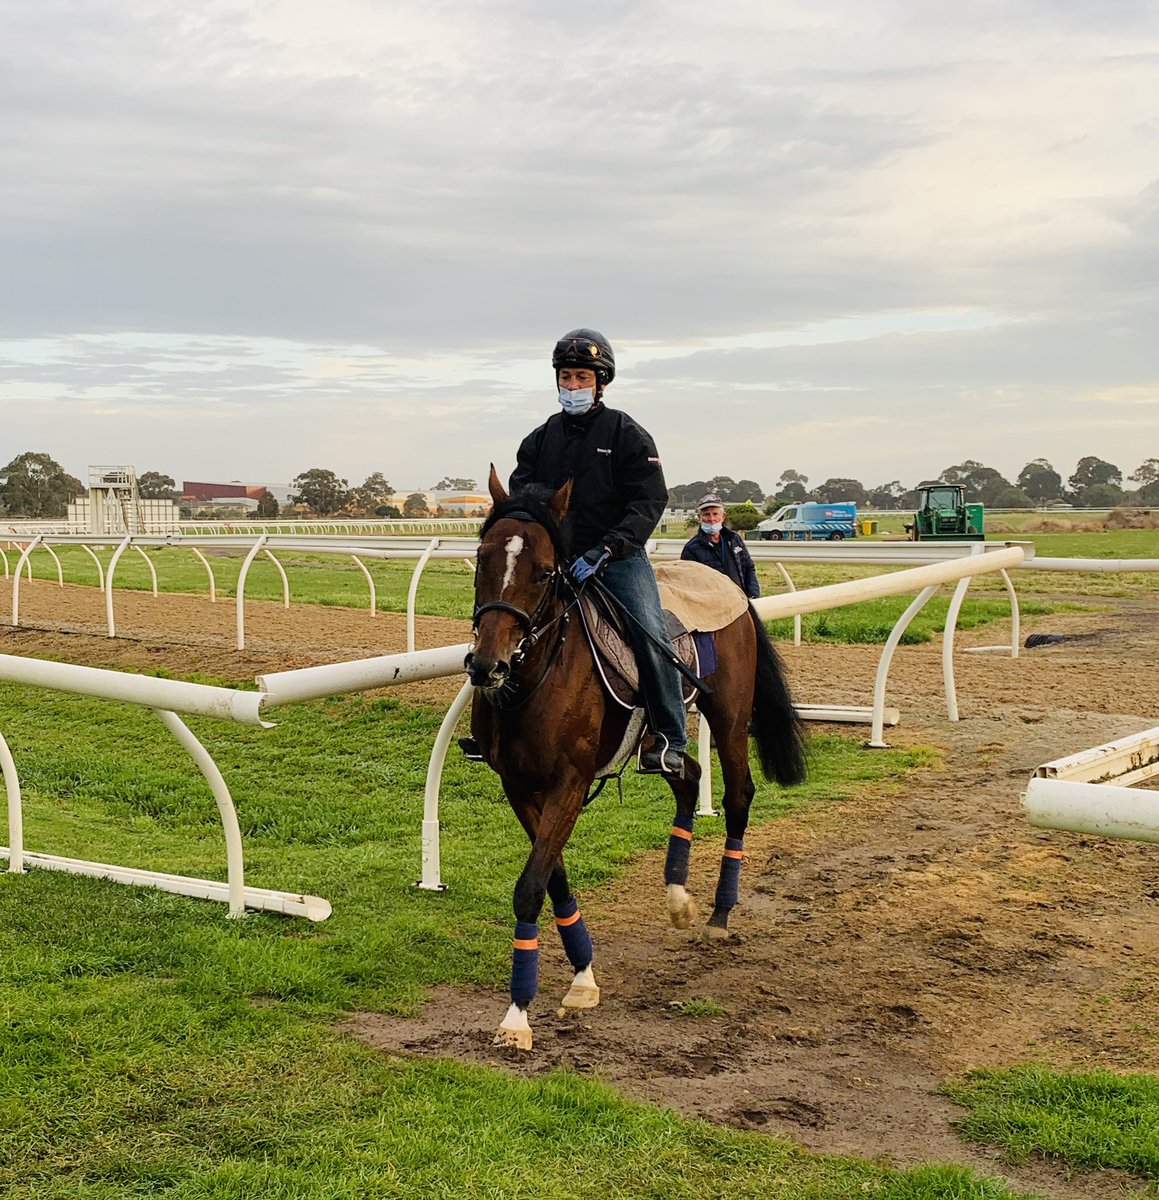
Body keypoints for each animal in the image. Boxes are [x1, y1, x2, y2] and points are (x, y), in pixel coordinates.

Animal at [465, 468, 806, 1051]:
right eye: (482, 558)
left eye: (545, 572)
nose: (487, 665)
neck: (533, 682)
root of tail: (731, 588)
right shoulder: (518, 785)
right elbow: (553, 875)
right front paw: (582, 976)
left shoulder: (571, 782)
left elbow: (531, 886)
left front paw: (517, 1014)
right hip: (663, 747)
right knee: (688, 778)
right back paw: (677, 898)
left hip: (730, 719)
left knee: (739, 796)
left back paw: (719, 913)